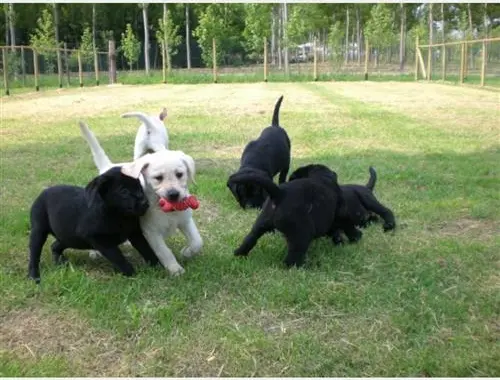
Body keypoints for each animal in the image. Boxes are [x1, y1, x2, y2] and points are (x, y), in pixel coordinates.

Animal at [26, 160, 158, 282]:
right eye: (124, 191)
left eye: (140, 187)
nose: (145, 203)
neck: (118, 215)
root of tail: (44, 192)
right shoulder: (100, 240)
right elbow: (118, 257)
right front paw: (133, 274)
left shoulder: (135, 234)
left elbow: (147, 250)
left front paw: (157, 268)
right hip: (39, 231)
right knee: (34, 255)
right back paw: (34, 276)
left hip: (69, 237)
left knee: (55, 245)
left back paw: (59, 262)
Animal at [79, 120, 202, 274]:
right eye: (158, 178)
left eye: (180, 174)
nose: (173, 194)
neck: (164, 209)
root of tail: (108, 166)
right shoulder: (151, 232)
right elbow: (164, 251)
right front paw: (174, 269)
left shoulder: (185, 221)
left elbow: (197, 241)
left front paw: (187, 252)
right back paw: (95, 252)